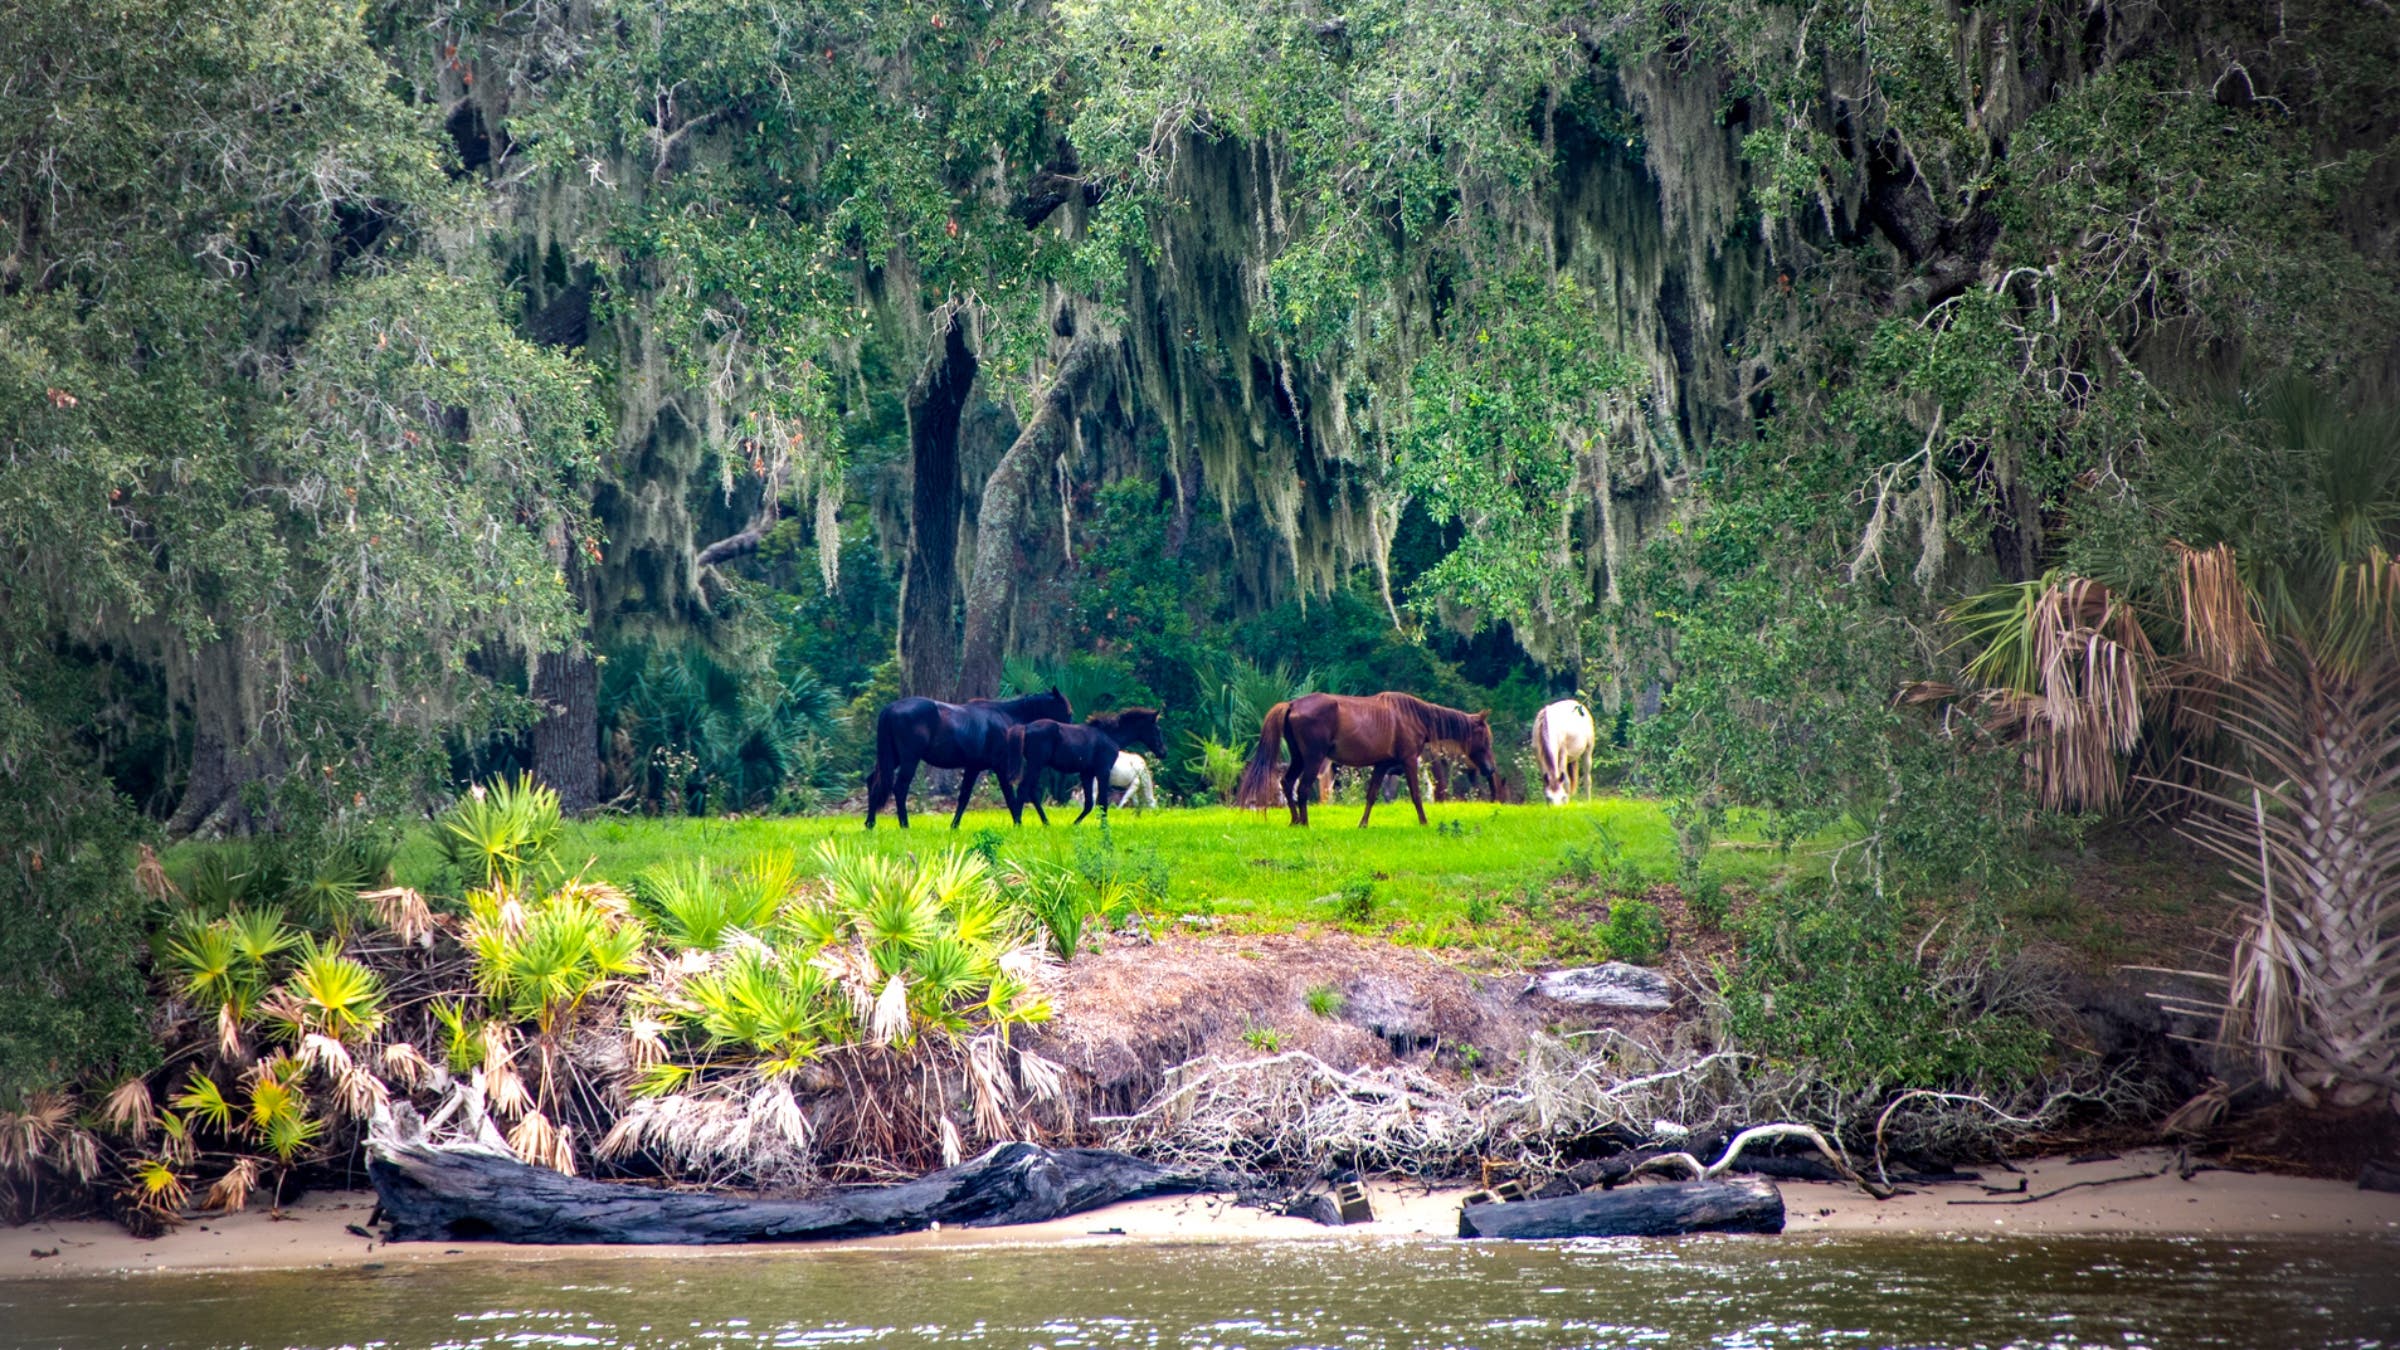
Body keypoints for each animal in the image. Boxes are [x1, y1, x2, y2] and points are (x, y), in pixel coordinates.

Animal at [866, 688, 1071, 829]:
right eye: (1067, 711)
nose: (1069, 730)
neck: (1006, 717)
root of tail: (890, 708)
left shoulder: (973, 768)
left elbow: (964, 797)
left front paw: (954, 826)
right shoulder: (1000, 767)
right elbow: (1009, 796)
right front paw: (1018, 823)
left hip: (891, 758)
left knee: (873, 782)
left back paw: (870, 823)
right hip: (909, 759)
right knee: (900, 788)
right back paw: (904, 825)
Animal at [1006, 708, 1166, 826]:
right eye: (1157, 729)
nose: (1163, 752)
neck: (1109, 736)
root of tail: (1026, 728)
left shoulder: (1087, 773)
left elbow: (1089, 803)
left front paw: (1074, 824)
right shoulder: (1103, 771)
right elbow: (1102, 802)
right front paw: (1104, 827)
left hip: (1037, 766)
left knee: (1031, 791)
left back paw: (1046, 823)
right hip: (1036, 764)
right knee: (1023, 789)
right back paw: (1018, 823)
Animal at [1235, 691, 1502, 826]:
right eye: (1485, 738)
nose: (1490, 769)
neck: (1412, 716)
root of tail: (1292, 704)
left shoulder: (1382, 765)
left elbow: (1372, 795)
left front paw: (1362, 823)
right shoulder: (1408, 761)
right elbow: (1416, 795)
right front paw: (1424, 822)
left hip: (1300, 758)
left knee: (1287, 783)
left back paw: (1294, 821)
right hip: (1312, 759)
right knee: (1301, 789)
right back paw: (1305, 822)